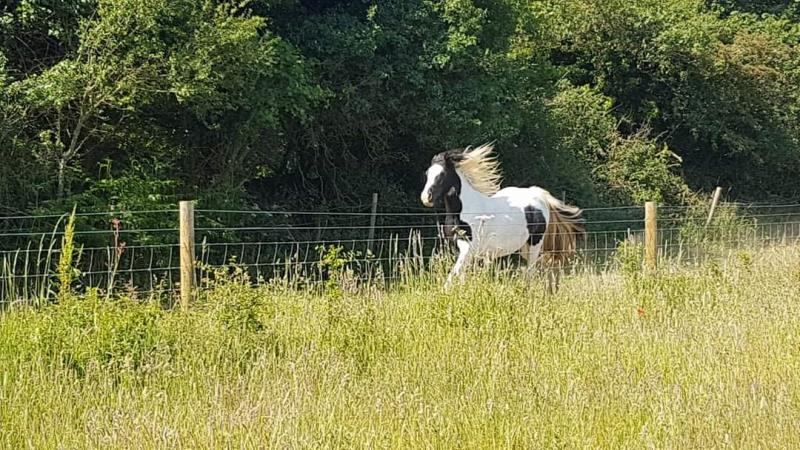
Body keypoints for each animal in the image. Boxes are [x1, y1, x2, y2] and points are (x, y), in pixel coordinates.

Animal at [420, 144, 585, 290]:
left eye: (441, 175)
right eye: (427, 174)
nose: (426, 198)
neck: (463, 211)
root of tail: (538, 195)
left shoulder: (468, 248)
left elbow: (452, 276)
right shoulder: (457, 249)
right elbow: (459, 276)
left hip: (535, 243)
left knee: (532, 270)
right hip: (524, 247)